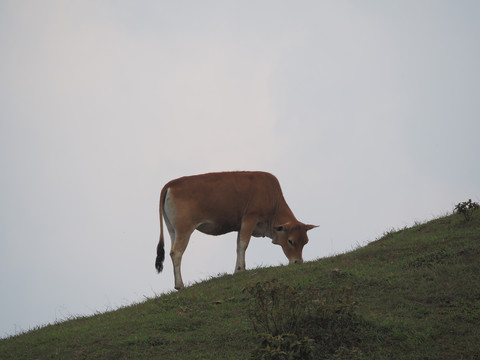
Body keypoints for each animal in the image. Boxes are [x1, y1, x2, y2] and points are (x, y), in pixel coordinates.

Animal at [156, 172, 316, 290]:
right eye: (291, 241)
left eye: (306, 242)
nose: (297, 261)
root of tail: (170, 184)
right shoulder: (250, 218)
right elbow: (243, 244)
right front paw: (240, 269)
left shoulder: (241, 226)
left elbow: (238, 245)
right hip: (185, 230)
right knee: (176, 253)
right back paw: (180, 285)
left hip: (173, 231)